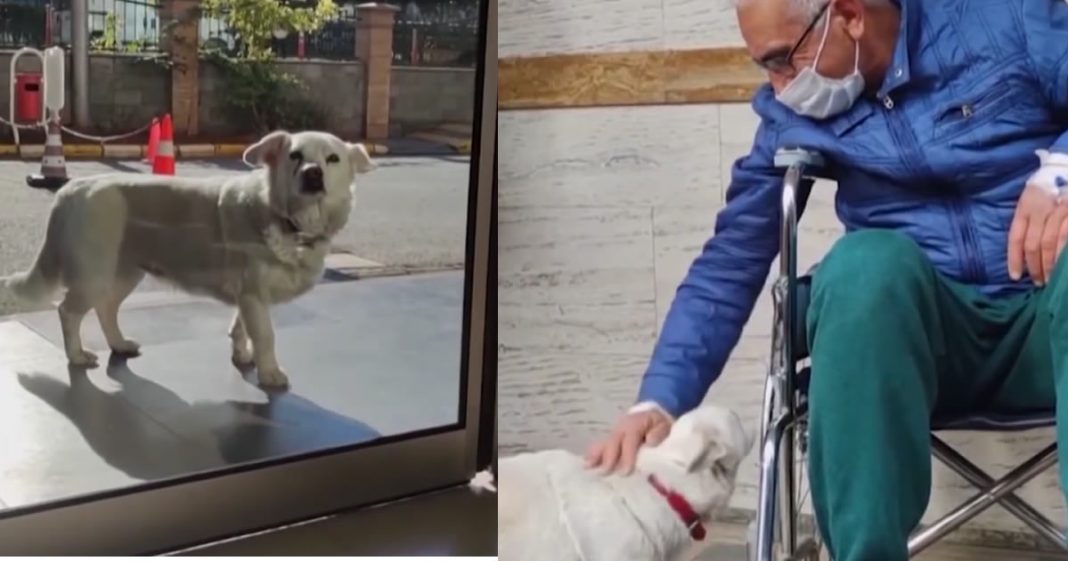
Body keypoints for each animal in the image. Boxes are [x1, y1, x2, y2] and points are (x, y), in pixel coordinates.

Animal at [0, 129, 375, 386]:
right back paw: (76, 355)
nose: (313, 173)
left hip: (126, 272)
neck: (288, 219)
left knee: (106, 308)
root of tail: (70, 189)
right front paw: (270, 372)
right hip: (93, 273)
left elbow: (241, 328)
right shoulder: (254, 294)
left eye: (332, 159)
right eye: (295, 155)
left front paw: (243, 355)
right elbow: (265, 335)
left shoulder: (249, 296)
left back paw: (119, 344)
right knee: (68, 312)